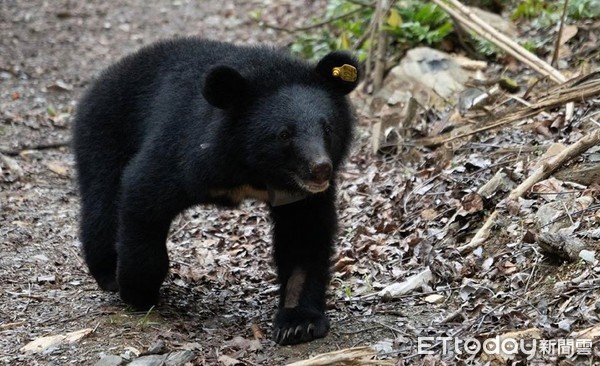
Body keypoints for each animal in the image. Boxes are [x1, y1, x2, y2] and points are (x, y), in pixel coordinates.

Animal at [72, 38, 358, 344]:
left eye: (328, 129)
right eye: (284, 134)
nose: (321, 169)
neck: (255, 170)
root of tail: (105, 77)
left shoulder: (298, 194)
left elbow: (304, 235)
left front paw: (298, 323)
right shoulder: (187, 152)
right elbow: (144, 193)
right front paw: (138, 290)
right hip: (104, 133)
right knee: (102, 204)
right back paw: (107, 273)